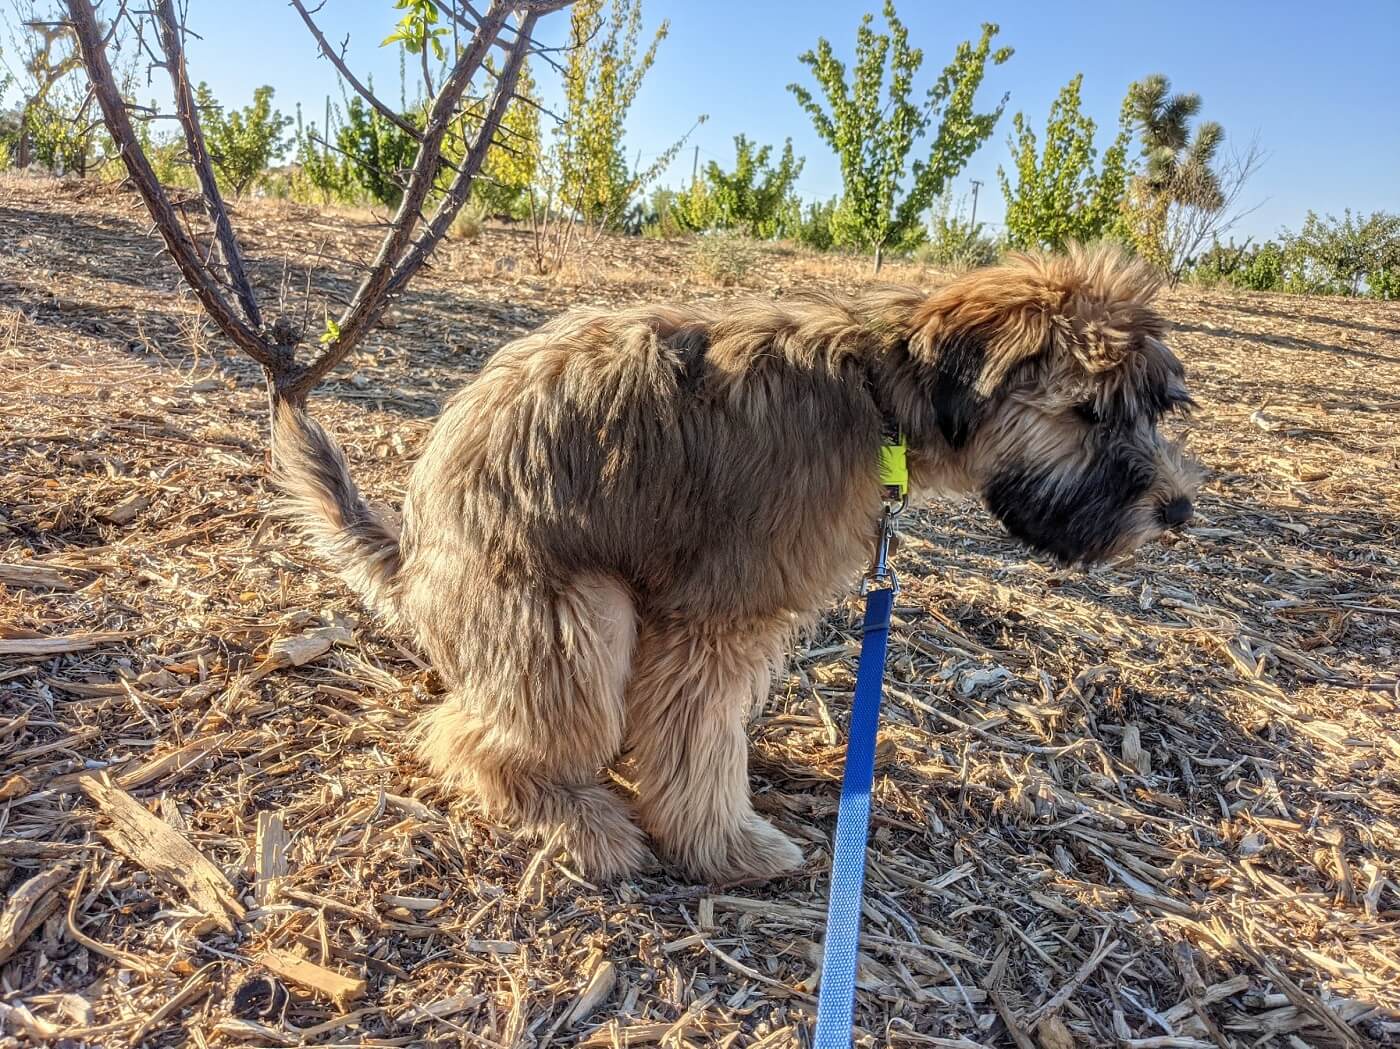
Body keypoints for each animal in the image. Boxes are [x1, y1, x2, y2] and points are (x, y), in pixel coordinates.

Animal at [275, 240, 1204, 879]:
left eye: (1152, 410)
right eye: (1088, 412)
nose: (1179, 509)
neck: (879, 394)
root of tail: (413, 561)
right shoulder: (719, 611)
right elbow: (697, 738)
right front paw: (722, 842)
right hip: (572, 615)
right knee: (473, 738)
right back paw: (584, 821)